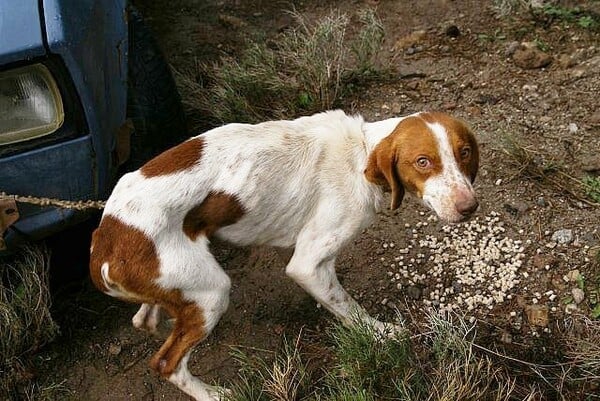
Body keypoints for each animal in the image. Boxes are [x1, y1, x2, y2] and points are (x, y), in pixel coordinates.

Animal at [90, 108, 478, 396]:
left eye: (465, 153)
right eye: (423, 161)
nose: (469, 207)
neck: (361, 150)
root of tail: (104, 244)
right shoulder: (309, 264)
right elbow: (349, 309)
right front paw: (379, 333)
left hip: (176, 282)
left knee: (145, 319)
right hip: (212, 291)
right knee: (166, 363)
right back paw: (213, 393)